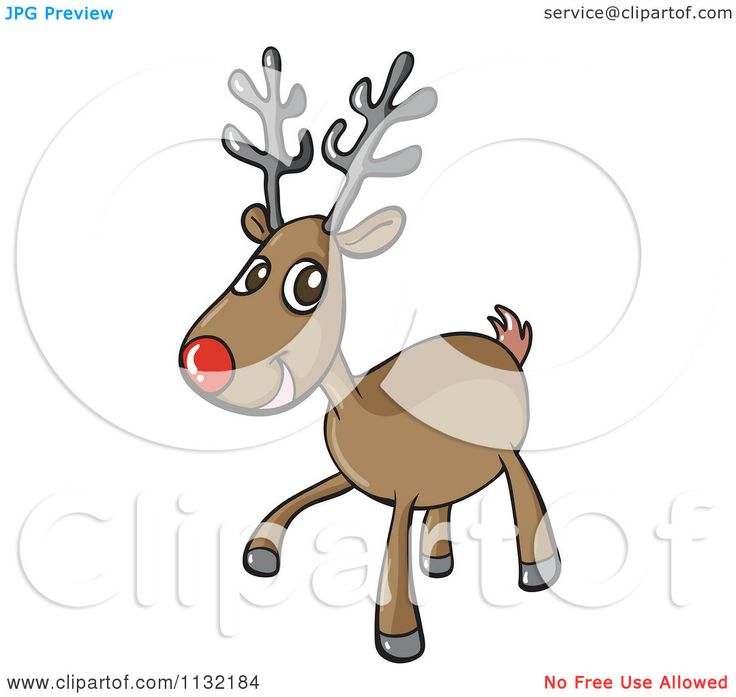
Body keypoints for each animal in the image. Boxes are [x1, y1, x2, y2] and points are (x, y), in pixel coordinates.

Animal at [179, 47, 561, 663]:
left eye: (308, 282)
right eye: (253, 268)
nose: (204, 359)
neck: (364, 410)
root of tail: (504, 344)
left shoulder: (404, 490)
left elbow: (390, 550)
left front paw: (399, 634)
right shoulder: (354, 476)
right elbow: (300, 496)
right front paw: (261, 550)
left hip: (507, 450)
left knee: (524, 490)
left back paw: (537, 569)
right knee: (444, 507)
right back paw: (438, 560)